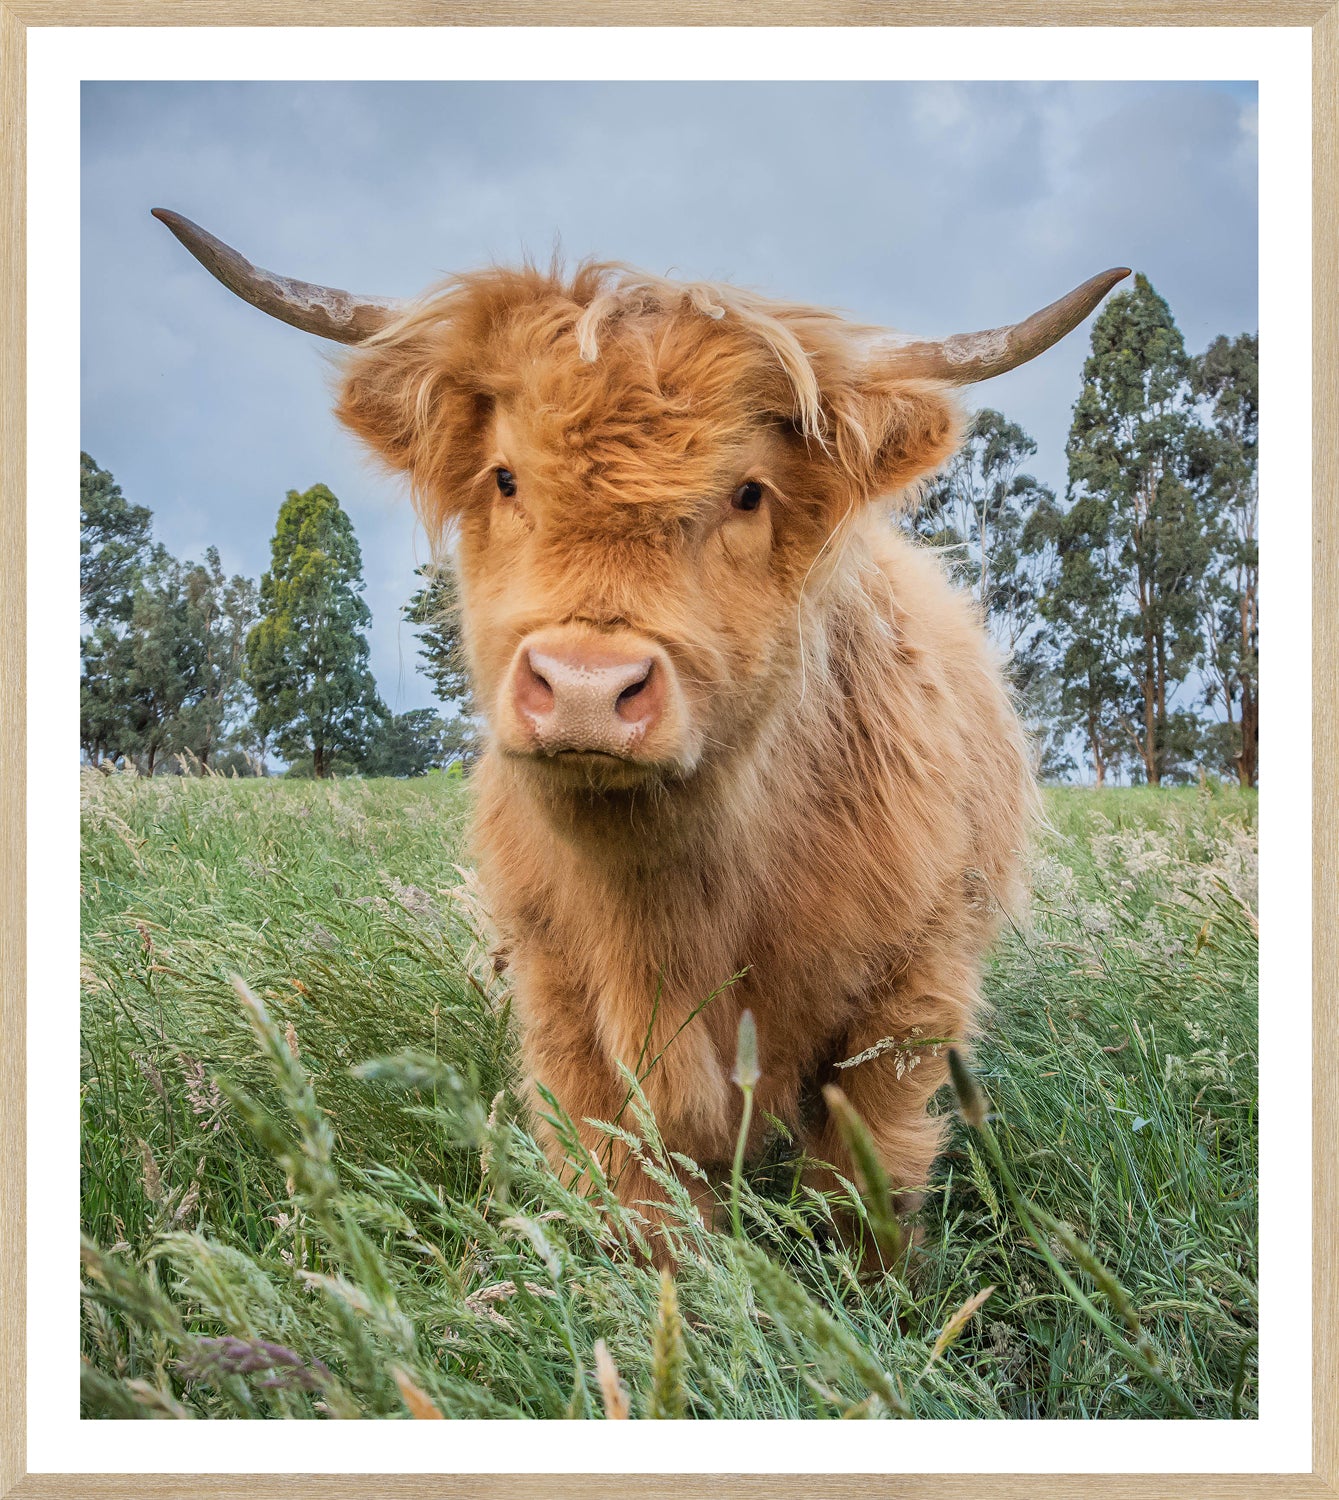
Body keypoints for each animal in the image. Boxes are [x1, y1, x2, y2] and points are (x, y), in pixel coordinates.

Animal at [154, 208, 1127, 1253]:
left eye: (747, 492)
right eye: (506, 477)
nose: (586, 688)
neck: (667, 908)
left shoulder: (908, 997)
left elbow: (860, 1195)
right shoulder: (560, 1003)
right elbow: (635, 1200)